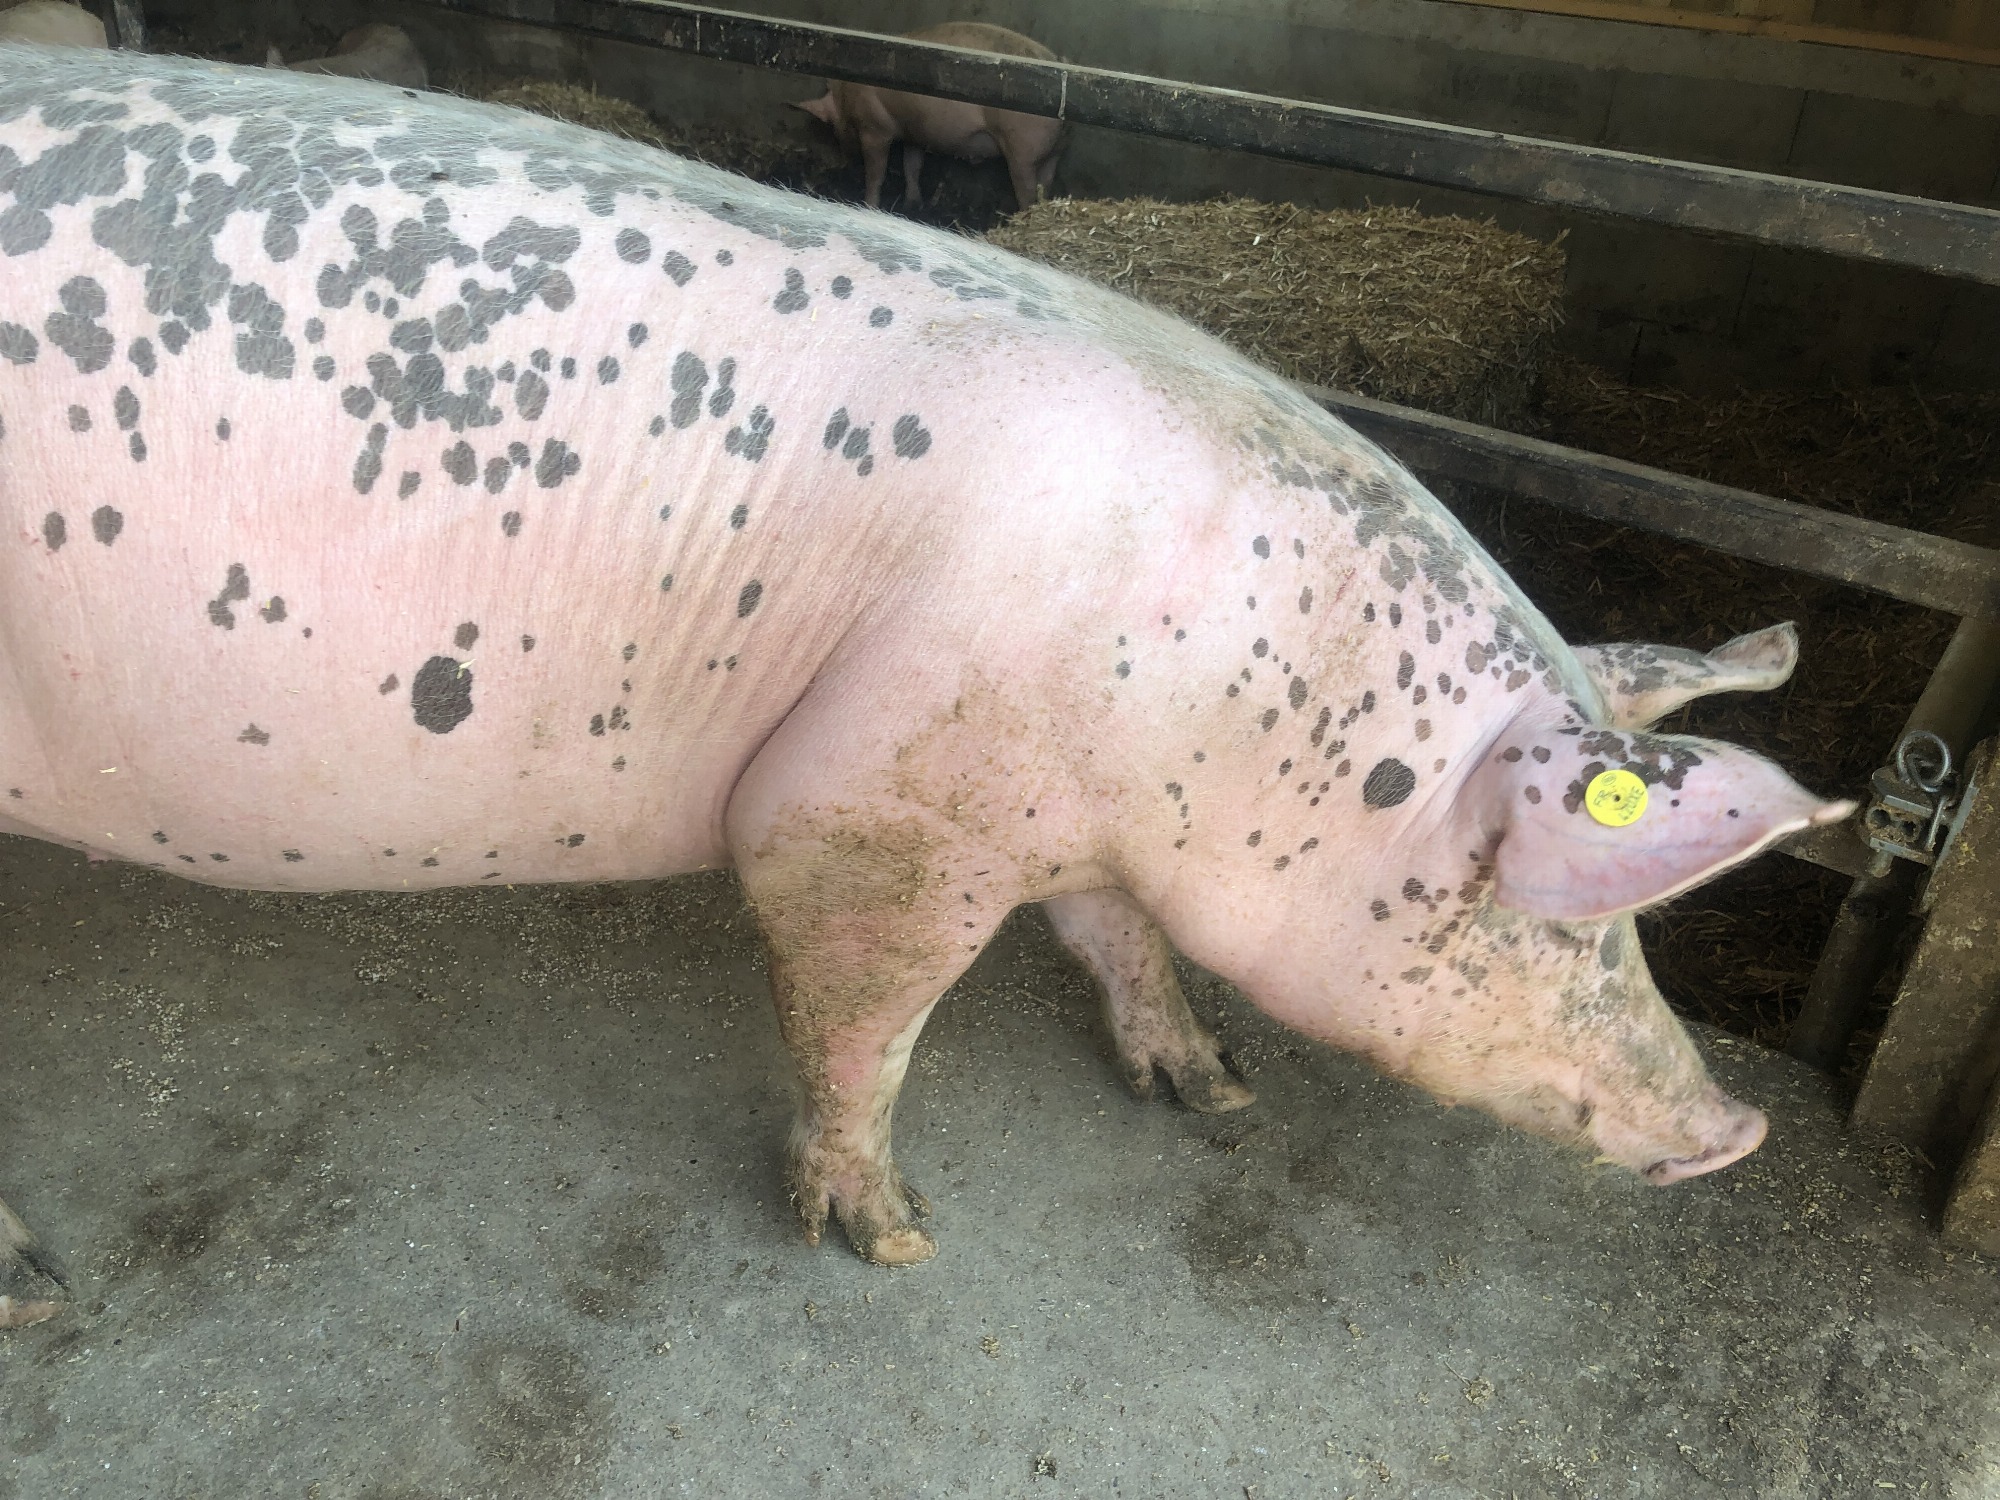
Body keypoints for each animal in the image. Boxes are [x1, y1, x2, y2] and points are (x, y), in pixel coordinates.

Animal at [0, 47, 1849, 1311]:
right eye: (1560, 911)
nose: (1733, 1134)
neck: (1237, 706)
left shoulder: (1075, 816)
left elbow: (1119, 936)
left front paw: (1210, 1090)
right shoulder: (874, 812)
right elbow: (869, 1023)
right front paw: (892, 1243)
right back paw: (38, 1290)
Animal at [793, 21, 1063, 213]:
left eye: (831, 122)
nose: (845, 155)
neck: (847, 94)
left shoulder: (875, 129)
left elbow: (876, 173)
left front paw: (869, 204)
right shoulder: (914, 130)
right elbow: (912, 165)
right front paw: (913, 204)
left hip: (1021, 148)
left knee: (1027, 192)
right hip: (1052, 151)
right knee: (1046, 182)